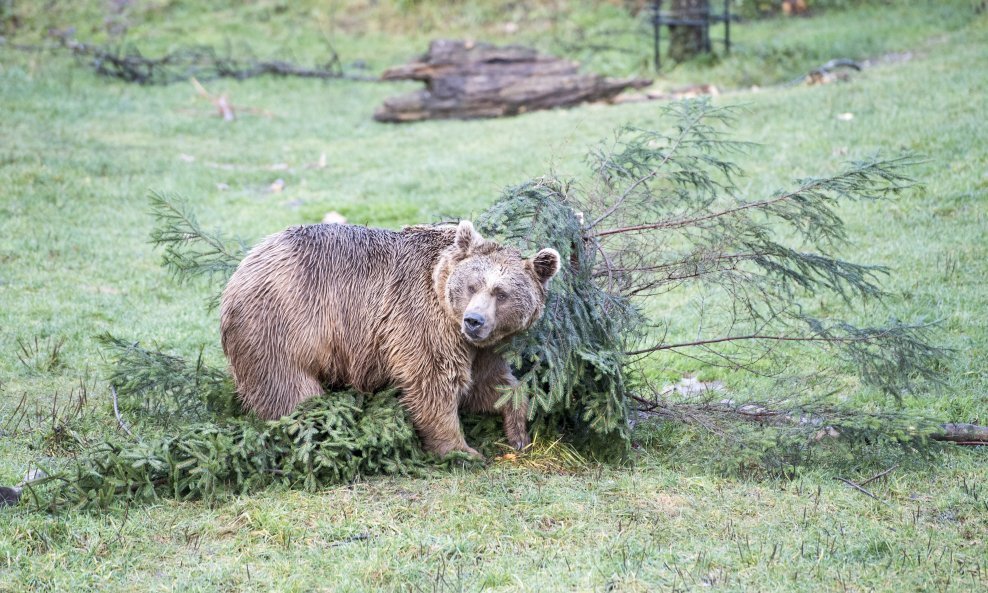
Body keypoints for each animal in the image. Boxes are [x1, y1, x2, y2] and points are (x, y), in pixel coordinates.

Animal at [220, 220, 560, 456]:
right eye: (472, 285)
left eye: (501, 293)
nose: (474, 320)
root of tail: (241, 269)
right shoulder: (418, 317)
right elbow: (433, 380)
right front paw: (461, 450)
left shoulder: (485, 348)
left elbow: (492, 385)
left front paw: (518, 433)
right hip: (282, 324)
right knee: (290, 389)